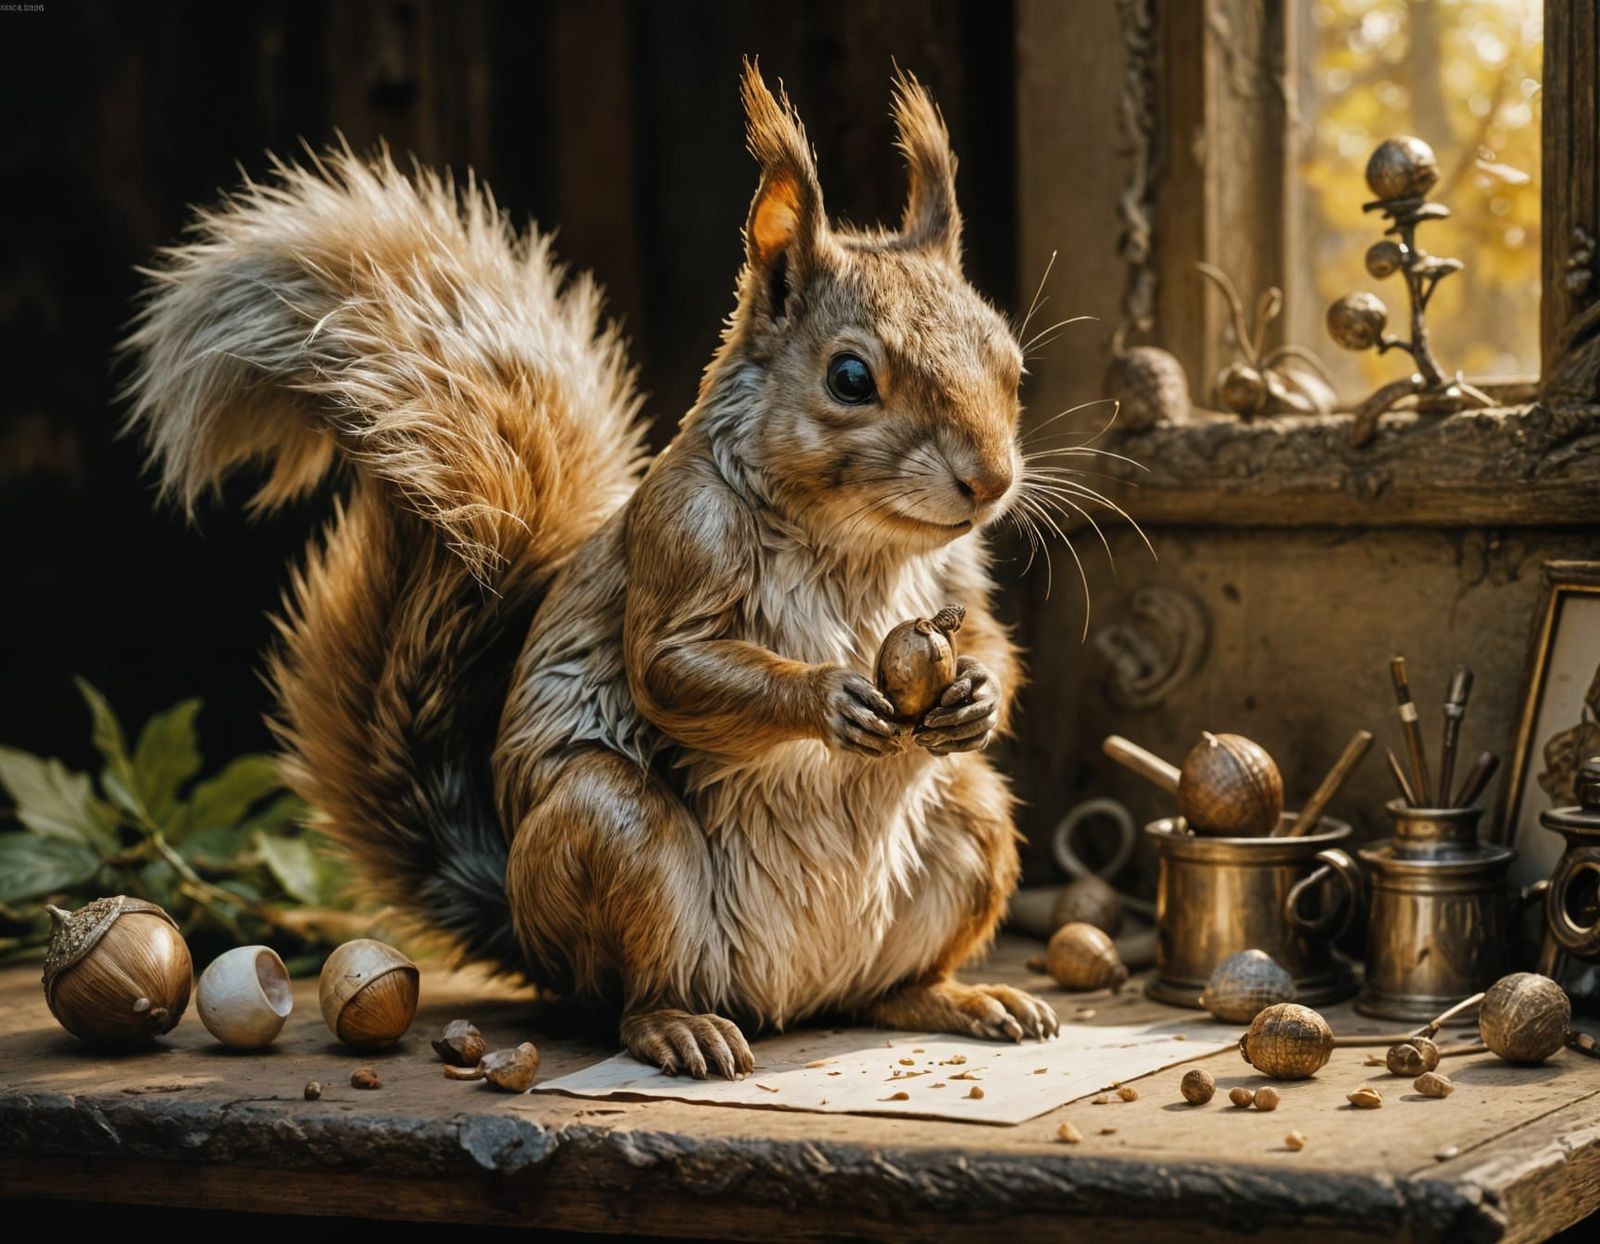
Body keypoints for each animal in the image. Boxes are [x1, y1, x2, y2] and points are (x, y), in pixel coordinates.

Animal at [122, 64, 1059, 1077]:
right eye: (850, 379)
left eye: (1011, 365)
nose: (990, 480)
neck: (857, 544)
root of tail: (788, 997)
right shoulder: (680, 535)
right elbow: (670, 668)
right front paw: (830, 696)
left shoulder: (956, 571)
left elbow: (993, 639)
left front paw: (974, 693)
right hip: (614, 838)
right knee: (626, 996)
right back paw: (678, 1025)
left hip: (970, 822)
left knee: (881, 987)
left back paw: (956, 997)